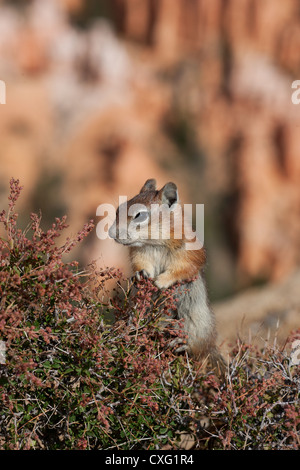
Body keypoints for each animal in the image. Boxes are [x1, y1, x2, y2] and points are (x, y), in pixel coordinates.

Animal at [109, 178, 226, 372]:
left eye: (139, 215)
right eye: (119, 209)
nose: (112, 233)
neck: (155, 243)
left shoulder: (189, 253)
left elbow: (183, 268)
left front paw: (161, 281)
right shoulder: (140, 253)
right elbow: (141, 264)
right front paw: (140, 274)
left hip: (197, 319)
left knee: (199, 346)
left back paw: (182, 342)